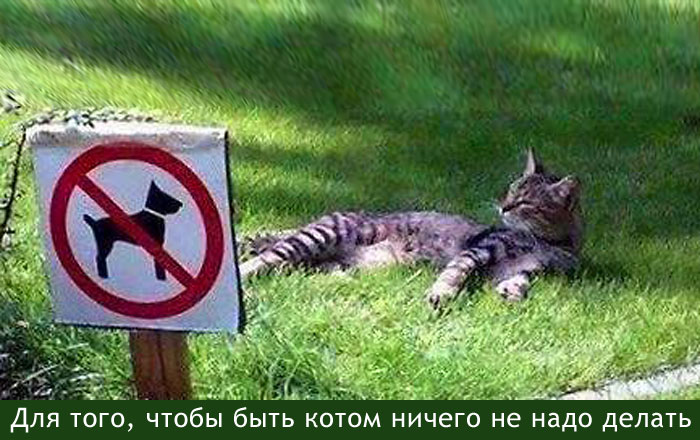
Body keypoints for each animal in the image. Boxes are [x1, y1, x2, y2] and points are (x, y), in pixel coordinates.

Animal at [239, 149, 583, 308]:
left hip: (326, 259)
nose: (503, 207)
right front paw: (442, 293)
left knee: (284, 258)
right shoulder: (481, 249)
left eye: (525, 201)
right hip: (325, 234)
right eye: (511, 191)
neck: (552, 243)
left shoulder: (523, 268)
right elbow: (456, 271)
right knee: (266, 257)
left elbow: (521, 280)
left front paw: (512, 292)